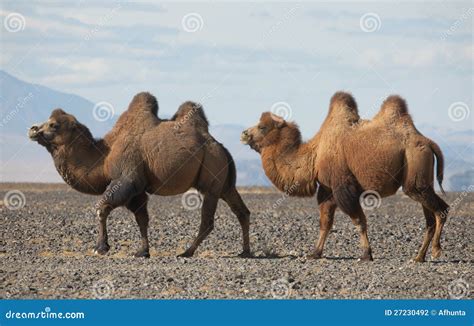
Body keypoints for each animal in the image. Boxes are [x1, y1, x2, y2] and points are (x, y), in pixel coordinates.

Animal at [28, 93, 252, 258]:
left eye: (54, 124)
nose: (33, 129)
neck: (105, 157)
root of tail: (220, 147)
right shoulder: (138, 190)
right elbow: (142, 218)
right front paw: (142, 251)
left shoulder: (127, 178)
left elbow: (102, 208)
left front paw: (100, 247)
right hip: (224, 182)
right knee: (242, 211)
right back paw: (245, 252)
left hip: (212, 174)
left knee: (208, 220)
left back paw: (186, 252)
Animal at [243, 91, 450, 262]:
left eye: (262, 127)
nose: (244, 134)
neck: (315, 155)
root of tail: (428, 142)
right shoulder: (327, 189)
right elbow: (325, 223)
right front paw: (315, 253)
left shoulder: (342, 186)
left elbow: (359, 220)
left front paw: (366, 254)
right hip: (422, 178)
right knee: (430, 218)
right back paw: (419, 257)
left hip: (415, 169)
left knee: (441, 209)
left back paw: (436, 250)